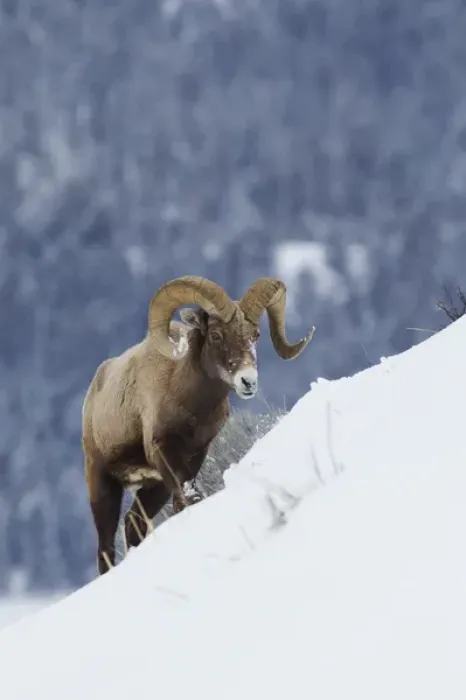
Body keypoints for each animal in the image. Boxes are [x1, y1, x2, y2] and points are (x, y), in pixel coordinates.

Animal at [82, 275, 315, 574]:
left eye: (255, 335)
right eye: (215, 335)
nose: (248, 381)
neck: (190, 402)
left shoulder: (194, 456)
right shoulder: (164, 451)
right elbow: (190, 497)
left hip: (154, 488)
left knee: (133, 524)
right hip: (101, 484)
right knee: (106, 548)